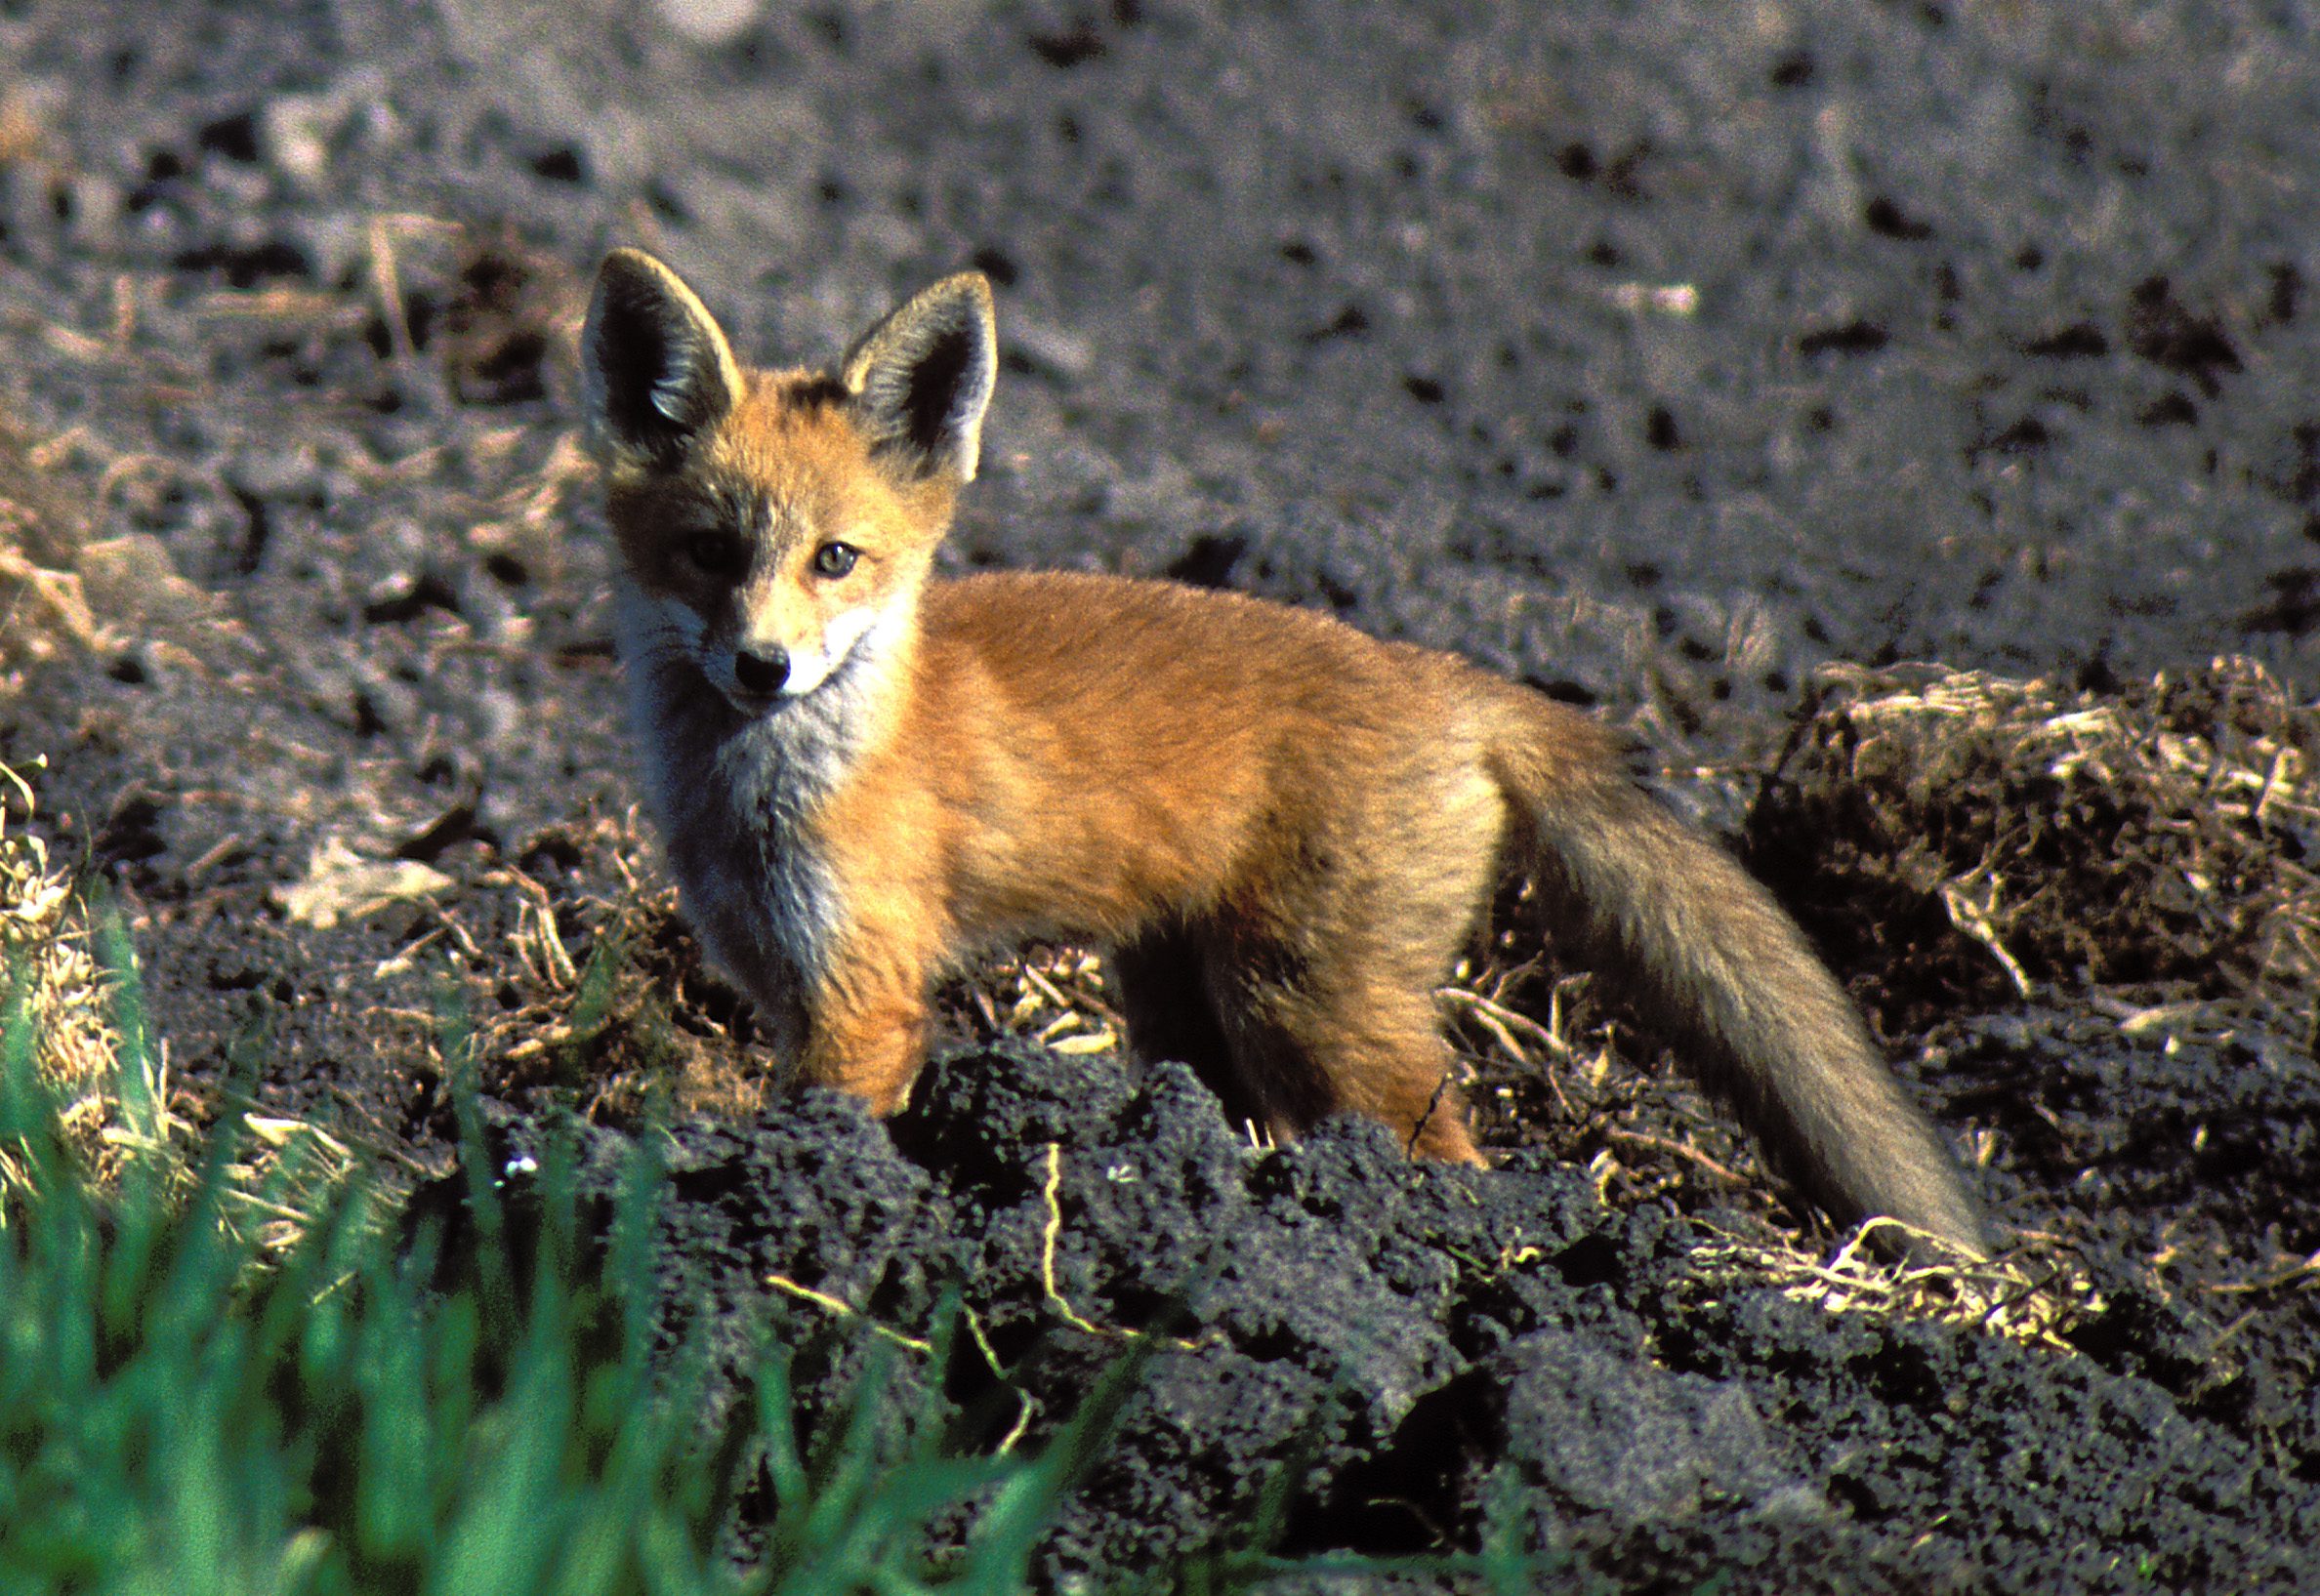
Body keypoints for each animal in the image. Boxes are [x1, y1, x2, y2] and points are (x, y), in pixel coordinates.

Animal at [580, 245, 1995, 1261]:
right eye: (709, 551)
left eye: (836, 558)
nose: (761, 667)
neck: (772, 792)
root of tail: (1458, 680)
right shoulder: (782, 980)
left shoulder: (863, 998)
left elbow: (830, 1133)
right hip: (1187, 1000)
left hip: (1311, 1007)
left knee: (1455, 1158)